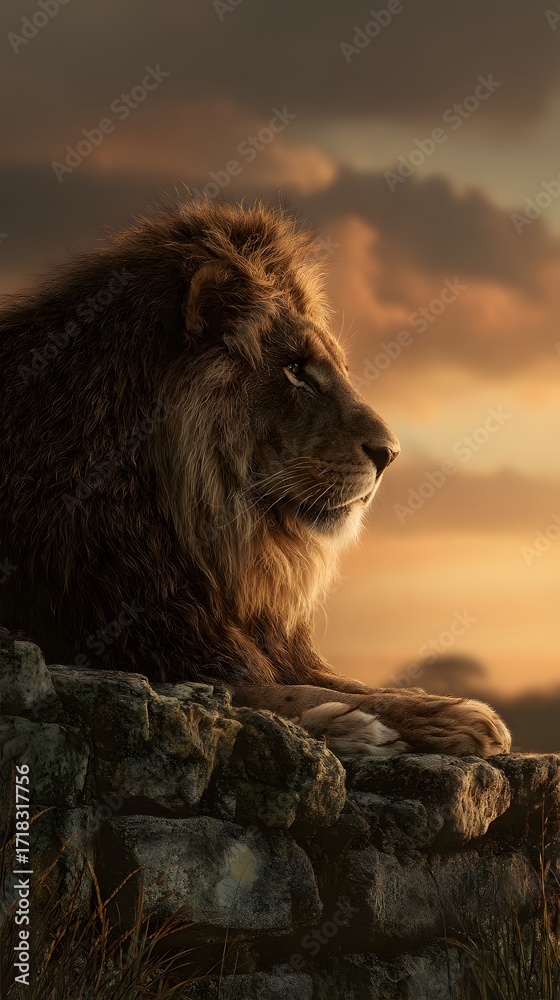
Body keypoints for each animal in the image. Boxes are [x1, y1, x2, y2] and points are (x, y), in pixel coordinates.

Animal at [0, 198, 510, 759]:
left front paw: (440, 707)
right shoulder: (134, 643)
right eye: (295, 369)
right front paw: (372, 724)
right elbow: (278, 693)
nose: (391, 453)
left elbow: (349, 682)